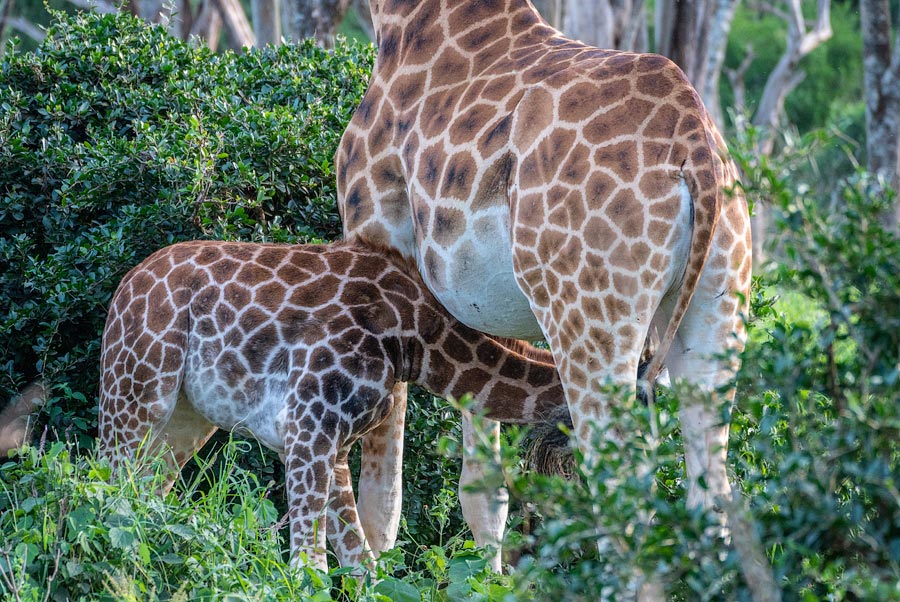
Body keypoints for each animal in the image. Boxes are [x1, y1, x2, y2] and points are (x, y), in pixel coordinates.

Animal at [97, 240, 569, 571]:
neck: (416, 339)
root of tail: (124, 285)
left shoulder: (334, 444)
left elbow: (364, 568)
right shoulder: (309, 428)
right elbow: (311, 567)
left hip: (186, 418)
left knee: (145, 493)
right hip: (136, 388)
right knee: (105, 487)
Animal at [336, 0, 752, 576]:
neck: (401, 22)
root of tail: (695, 140)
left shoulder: (374, 236)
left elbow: (381, 491)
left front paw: (371, 575)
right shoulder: (477, 303)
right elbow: (484, 492)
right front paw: (488, 580)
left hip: (589, 319)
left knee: (623, 496)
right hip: (718, 313)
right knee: (711, 492)